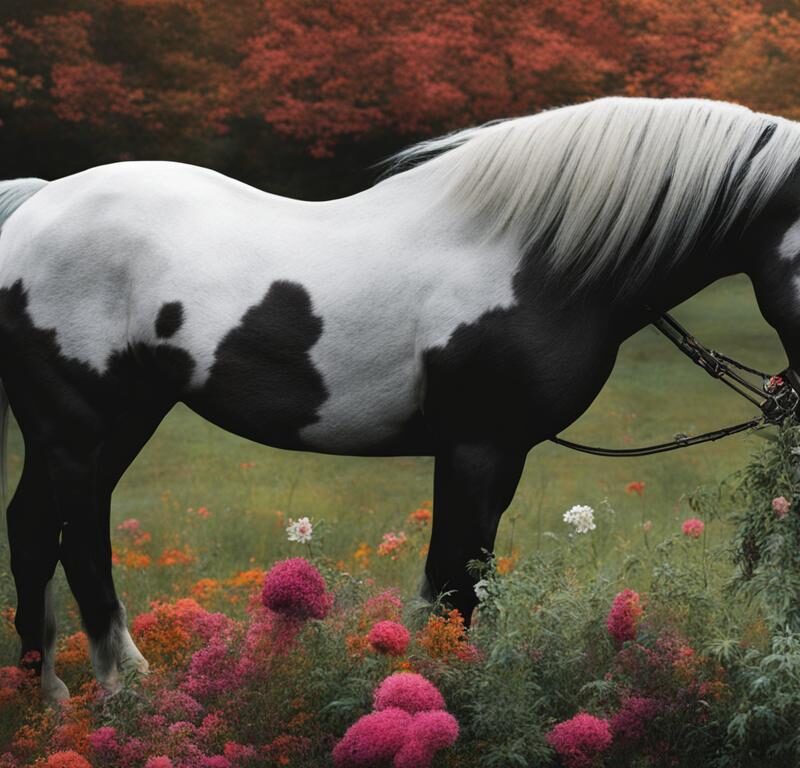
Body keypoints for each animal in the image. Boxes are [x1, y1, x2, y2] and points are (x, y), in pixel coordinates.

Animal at [2, 96, 800, 702]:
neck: (533, 259)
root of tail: (34, 205)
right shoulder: (478, 447)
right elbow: (455, 580)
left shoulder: (495, 455)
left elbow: (455, 580)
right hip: (81, 427)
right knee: (80, 544)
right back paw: (121, 689)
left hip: (112, 423)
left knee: (33, 530)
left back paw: (50, 696)